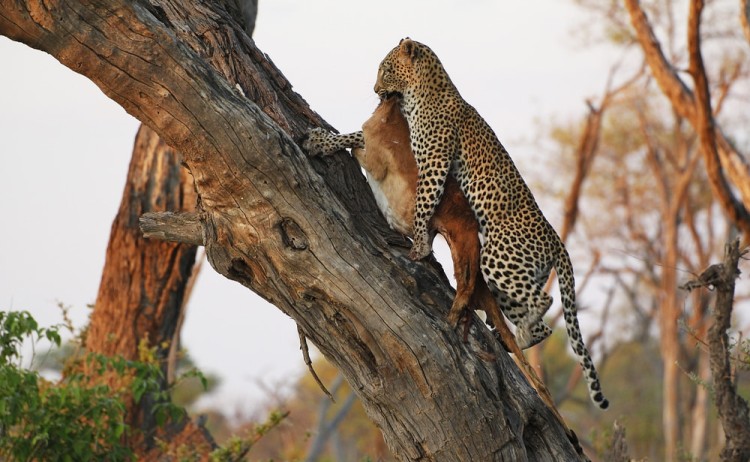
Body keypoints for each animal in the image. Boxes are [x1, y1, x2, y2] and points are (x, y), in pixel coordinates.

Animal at [373, 38, 608, 409]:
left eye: (384, 68)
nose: (375, 90)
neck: (423, 90)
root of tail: (557, 242)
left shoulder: (433, 165)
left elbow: (423, 206)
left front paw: (418, 247)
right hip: (512, 276)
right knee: (544, 326)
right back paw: (508, 337)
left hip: (498, 260)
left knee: (545, 303)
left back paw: (519, 333)